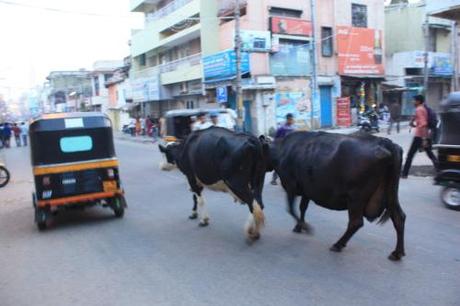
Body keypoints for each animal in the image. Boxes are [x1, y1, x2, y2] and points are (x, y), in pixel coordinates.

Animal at [270, 131, 406, 260]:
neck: (282, 150)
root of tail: (385, 142)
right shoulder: (306, 191)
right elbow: (302, 208)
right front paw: (300, 226)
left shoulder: (291, 187)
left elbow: (291, 209)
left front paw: (304, 227)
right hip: (390, 195)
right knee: (399, 217)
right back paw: (397, 253)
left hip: (356, 198)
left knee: (356, 222)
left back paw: (338, 244)